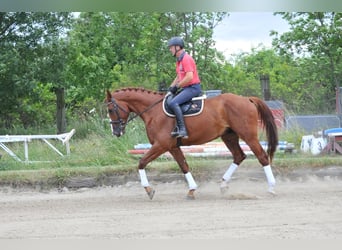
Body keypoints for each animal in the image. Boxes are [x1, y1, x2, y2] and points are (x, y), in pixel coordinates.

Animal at [106, 87, 278, 199]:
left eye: (110, 110)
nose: (116, 132)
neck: (153, 112)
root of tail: (246, 99)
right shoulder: (172, 147)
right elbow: (184, 166)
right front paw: (192, 190)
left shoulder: (161, 145)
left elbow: (141, 162)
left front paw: (149, 190)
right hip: (229, 136)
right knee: (239, 156)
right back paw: (223, 185)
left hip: (248, 135)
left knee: (262, 157)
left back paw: (271, 188)